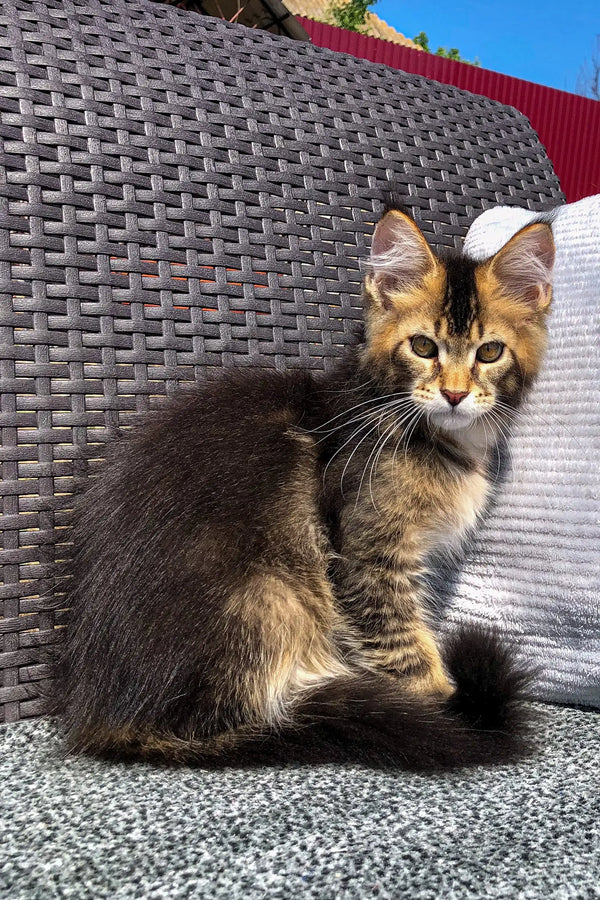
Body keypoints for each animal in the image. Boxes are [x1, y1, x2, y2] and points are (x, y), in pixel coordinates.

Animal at [54, 202, 556, 768]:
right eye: (424, 346)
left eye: (489, 353)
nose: (454, 394)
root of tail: (108, 716)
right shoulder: (366, 555)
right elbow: (403, 645)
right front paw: (441, 703)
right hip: (274, 599)